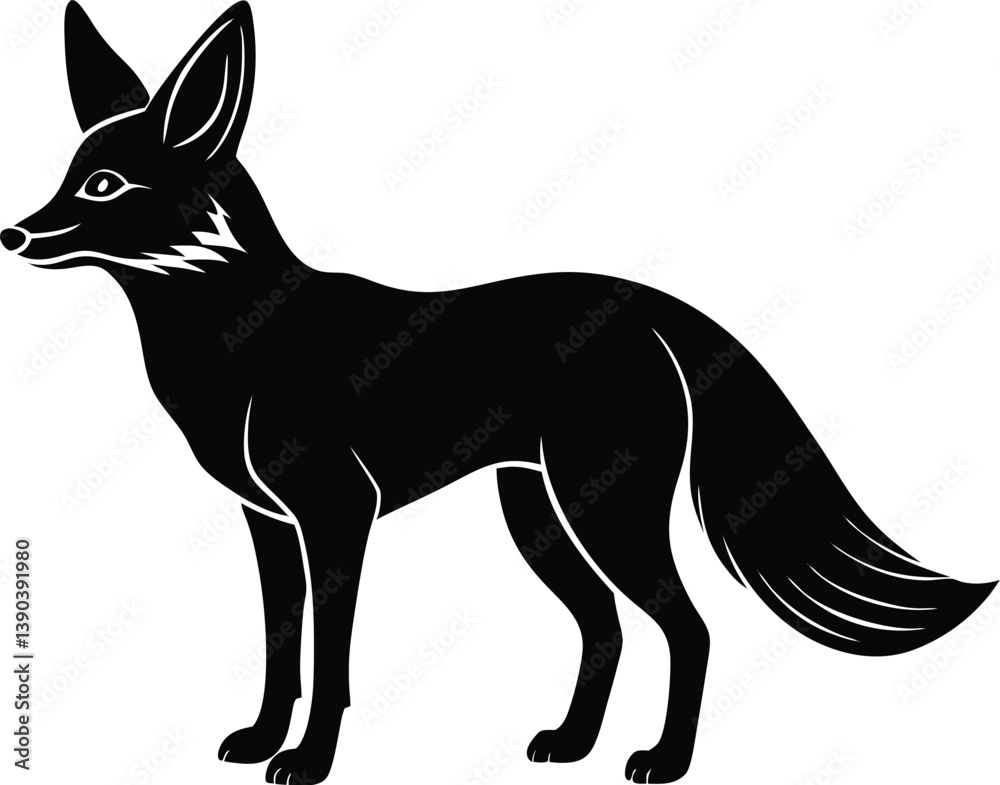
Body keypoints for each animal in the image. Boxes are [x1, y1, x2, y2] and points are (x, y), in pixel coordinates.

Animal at [3, 2, 996, 784]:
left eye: (103, 184)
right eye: (65, 174)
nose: (14, 233)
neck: (239, 331)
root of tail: (649, 305)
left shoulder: (336, 514)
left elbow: (332, 659)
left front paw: (310, 760)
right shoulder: (267, 522)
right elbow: (283, 649)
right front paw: (257, 741)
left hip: (605, 510)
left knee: (690, 628)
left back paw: (665, 761)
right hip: (539, 514)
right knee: (607, 628)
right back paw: (573, 743)